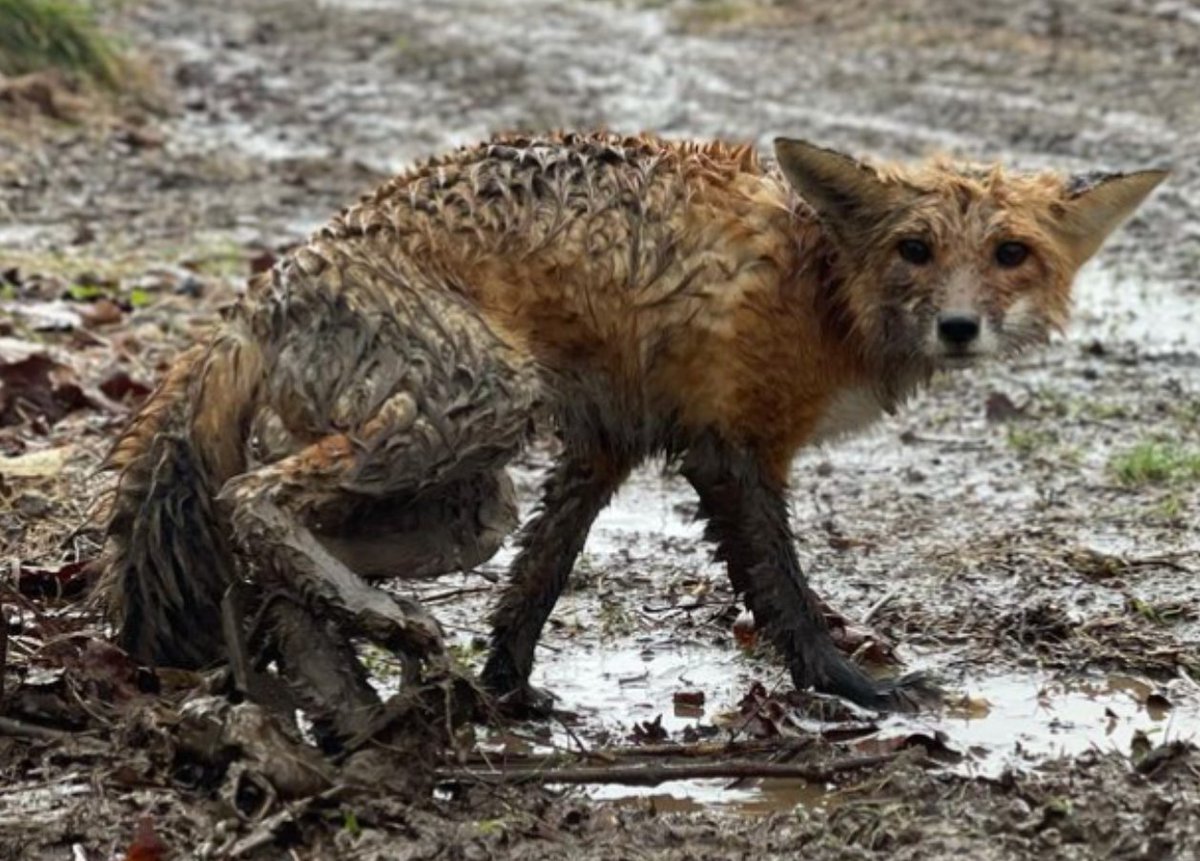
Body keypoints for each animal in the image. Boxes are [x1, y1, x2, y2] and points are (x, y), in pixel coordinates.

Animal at [103, 133, 1161, 714]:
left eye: (1011, 253)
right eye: (916, 249)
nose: (960, 327)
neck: (819, 285)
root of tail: (259, 294)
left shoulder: (605, 443)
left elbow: (534, 581)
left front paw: (507, 692)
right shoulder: (731, 446)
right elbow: (784, 591)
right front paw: (848, 686)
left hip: (470, 503)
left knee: (275, 542)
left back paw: (330, 627)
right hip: (488, 399)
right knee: (249, 498)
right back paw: (370, 622)